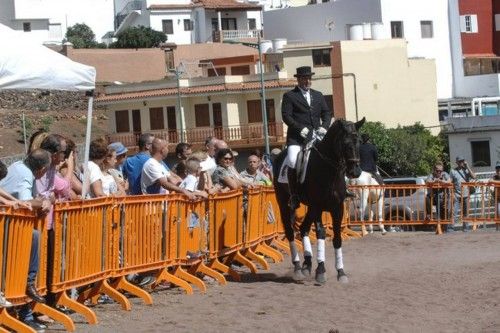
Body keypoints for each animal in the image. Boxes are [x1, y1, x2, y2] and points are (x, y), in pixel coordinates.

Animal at [274, 116, 364, 282]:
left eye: (359, 141)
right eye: (345, 143)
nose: (355, 172)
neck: (328, 169)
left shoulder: (337, 208)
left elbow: (337, 237)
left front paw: (341, 272)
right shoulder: (317, 207)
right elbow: (321, 233)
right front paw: (321, 270)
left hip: (309, 207)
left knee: (303, 228)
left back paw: (307, 264)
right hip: (284, 203)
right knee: (290, 232)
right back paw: (298, 267)